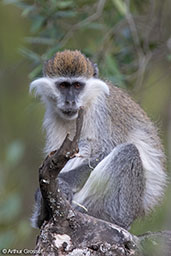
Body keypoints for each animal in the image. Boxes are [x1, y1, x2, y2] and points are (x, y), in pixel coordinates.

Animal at [29, 49, 167, 229]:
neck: (87, 102)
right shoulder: (53, 116)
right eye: (63, 85)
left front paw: (63, 181)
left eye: (78, 86)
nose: (70, 101)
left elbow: (105, 150)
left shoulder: (102, 110)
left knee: (127, 151)